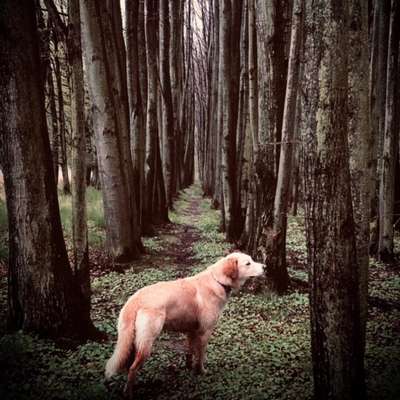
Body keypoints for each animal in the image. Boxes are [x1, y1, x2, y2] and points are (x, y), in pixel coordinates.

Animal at [105, 252, 266, 396]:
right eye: (248, 263)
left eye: (252, 260)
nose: (265, 266)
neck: (218, 281)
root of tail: (135, 299)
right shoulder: (204, 333)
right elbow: (200, 356)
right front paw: (200, 371)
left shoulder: (192, 331)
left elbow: (190, 351)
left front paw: (189, 367)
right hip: (146, 343)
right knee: (133, 368)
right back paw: (129, 392)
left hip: (132, 340)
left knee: (128, 364)